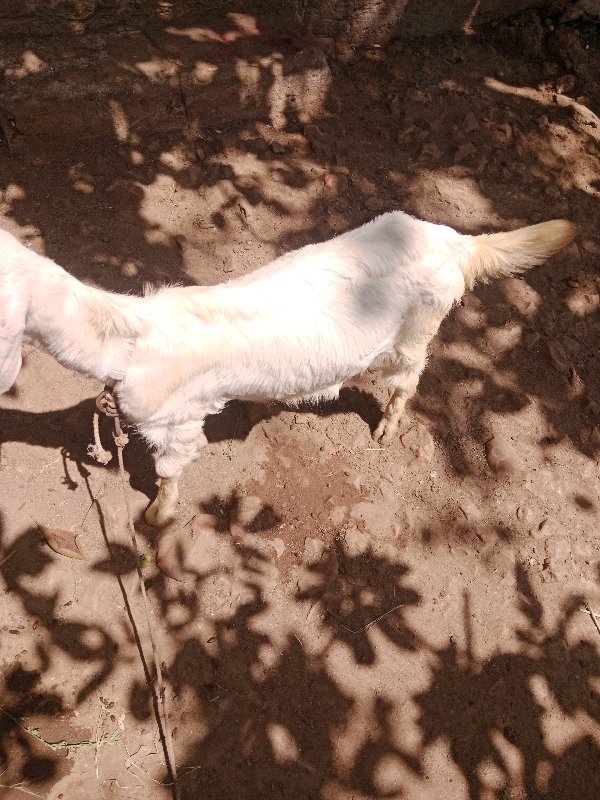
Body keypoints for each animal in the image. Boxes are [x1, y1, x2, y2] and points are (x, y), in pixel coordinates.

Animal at [0, 212, 576, 526]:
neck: (130, 336)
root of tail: (452, 241)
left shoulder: (178, 422)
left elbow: (168, 473)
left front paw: (156, 518)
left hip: (417, 330)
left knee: (408, 378)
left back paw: (388, 426)